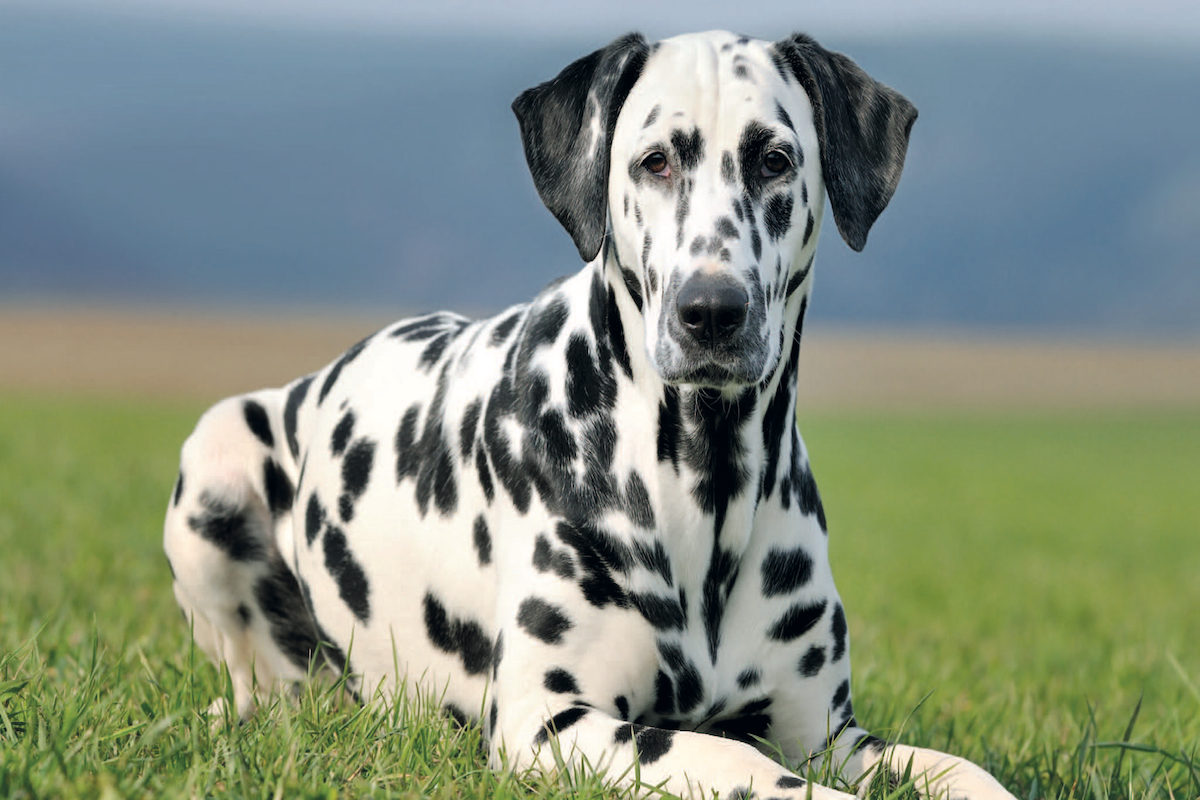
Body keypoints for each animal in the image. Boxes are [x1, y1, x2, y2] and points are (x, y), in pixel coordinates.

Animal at [164, 28, 1017, 796]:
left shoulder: (833, 739)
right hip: (215, 463)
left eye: (774, 159)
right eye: (655, 160)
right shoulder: (551, 722)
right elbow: (744, 765)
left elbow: (962, 773)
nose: (712, 311)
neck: (706, 487)